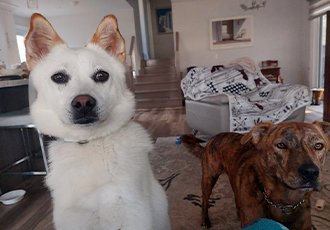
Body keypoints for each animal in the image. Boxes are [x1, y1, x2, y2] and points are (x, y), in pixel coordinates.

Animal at [182, 121, 328, 229]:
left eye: (318, 145)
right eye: (281, 145)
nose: (310, 172)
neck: (285, 202)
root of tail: (215, 137)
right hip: (209, 177)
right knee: (205, 199)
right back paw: (205, 219)